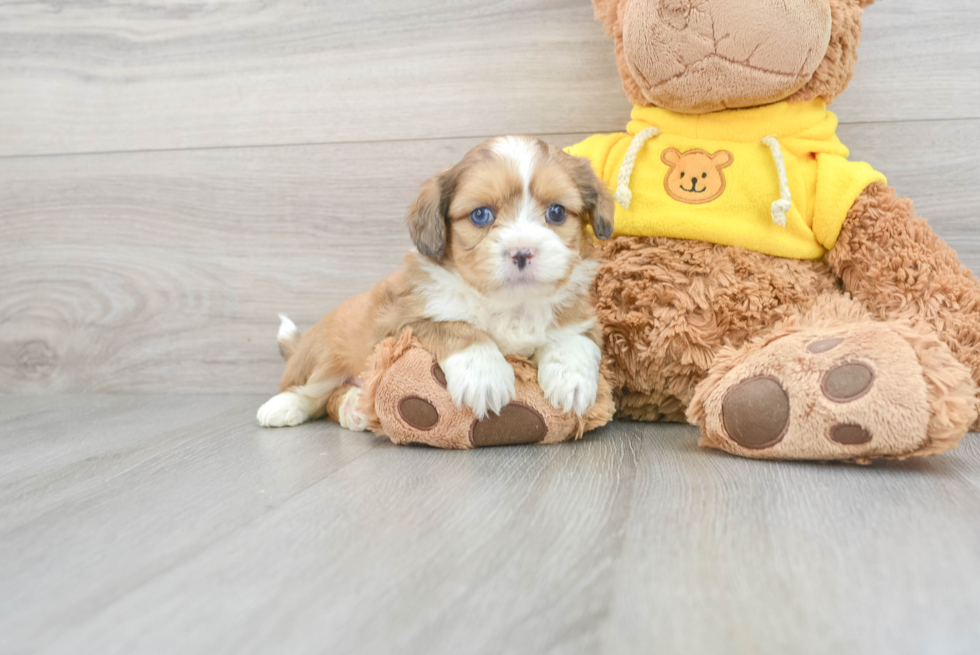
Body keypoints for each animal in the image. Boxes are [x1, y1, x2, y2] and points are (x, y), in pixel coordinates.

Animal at [256, 135, 616, 430]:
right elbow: (456, 326)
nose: (522, 252)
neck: (509, 304)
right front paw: (484, 375)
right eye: (481, 215)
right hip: (326, 354)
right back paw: (284, 407)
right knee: (312, 391)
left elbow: (573, 338)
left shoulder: (584, 317)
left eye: (556, 212)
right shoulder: (400, 322)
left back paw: (354, 409)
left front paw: (571, 381)